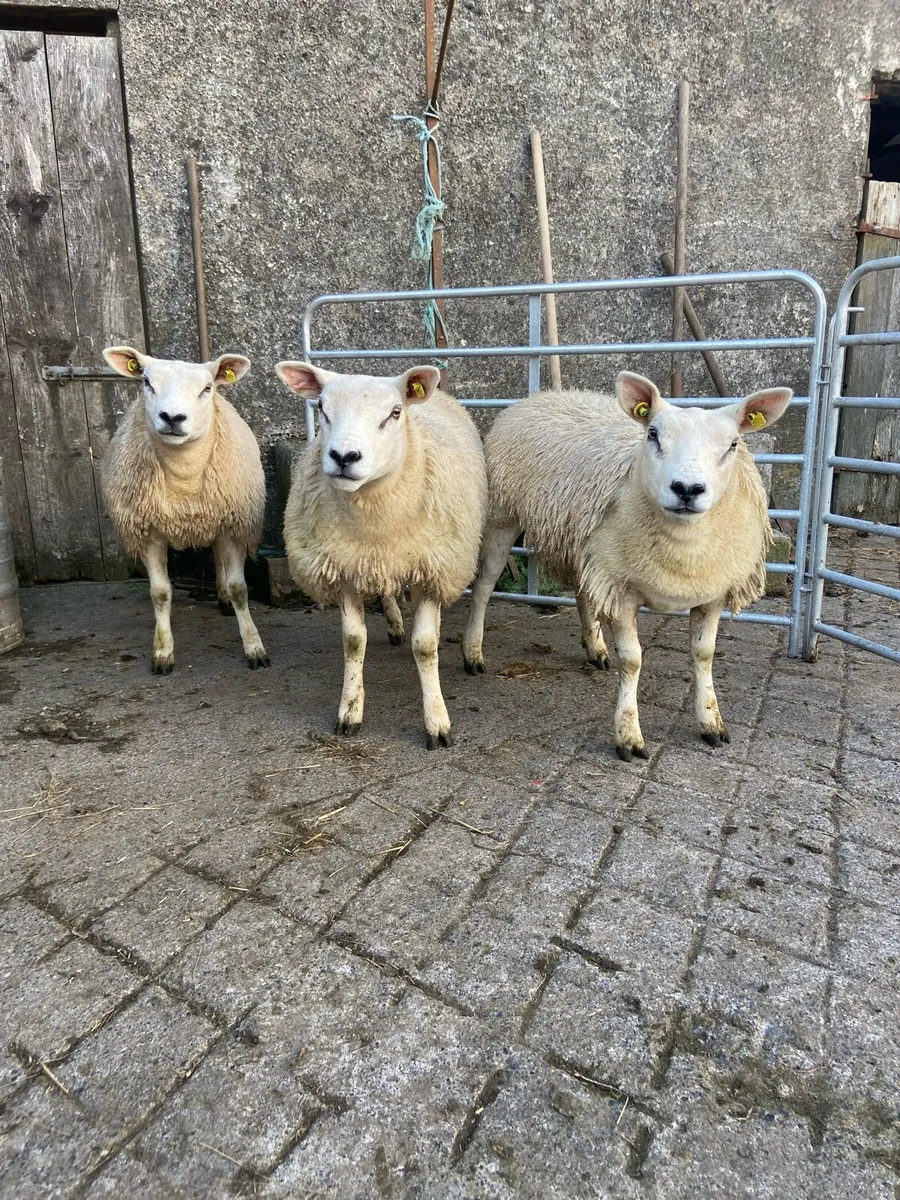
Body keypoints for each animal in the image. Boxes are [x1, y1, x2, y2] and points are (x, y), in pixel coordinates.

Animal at [101, 347, 269, 674]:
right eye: (146, 382)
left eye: (207, 387)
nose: (172, 417)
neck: (184, 476)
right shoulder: (149, 532)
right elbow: (160, 592)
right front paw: (162, 651)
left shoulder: (232, 525)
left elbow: (239, 588)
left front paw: (254, 647)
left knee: (218, 559)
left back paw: (223, 600)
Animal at [275, 363, 488, 748]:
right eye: (322, 407)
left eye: (395, 413)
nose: (344, 457)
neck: (376, 522)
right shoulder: (345, 566)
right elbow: (353, 641)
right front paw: (350, 712)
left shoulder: (430, 568)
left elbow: (425, 646)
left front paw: (437, 722)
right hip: (376, 564)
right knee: (387, 592)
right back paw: (394, 624)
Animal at [462, 371, 792, 761]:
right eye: (653, 434)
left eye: (733, 444)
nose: (687, 489)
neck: (683, 544)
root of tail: (544, 394)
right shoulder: (621, 590)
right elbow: (632, 661)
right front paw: (629, 735)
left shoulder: (711, 593)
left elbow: (704, 654)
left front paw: (711, 722)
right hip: (503, 516)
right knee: (484, 586)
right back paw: (473, 653)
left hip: (586, 544)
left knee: (582, 592)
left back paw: (595, 647)